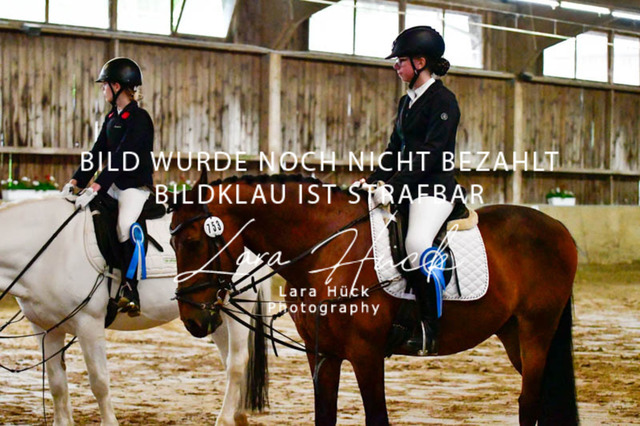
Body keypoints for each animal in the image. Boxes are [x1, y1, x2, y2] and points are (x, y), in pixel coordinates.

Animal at [0, 195, 270, 426]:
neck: (49, 251)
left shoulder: (89, 324)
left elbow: (99, 382)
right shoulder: (45, 328)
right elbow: (57, 383)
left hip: (237, 307)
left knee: (237, 362)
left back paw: (225, 418)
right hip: (213, 314)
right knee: (228, 360)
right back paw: (237, 416)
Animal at [169, 173, 579, 426]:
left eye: (192, 242)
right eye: (172, 243)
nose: (192, 319)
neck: (326, 249)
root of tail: (559, 228)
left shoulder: (365, 353)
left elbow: (377, 417)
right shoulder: (322, 352)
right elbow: (325, 416)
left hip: (536, 330)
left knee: (529, 402)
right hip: (512, 334)